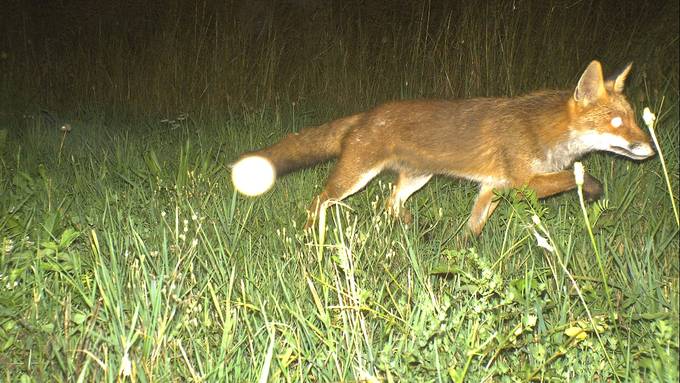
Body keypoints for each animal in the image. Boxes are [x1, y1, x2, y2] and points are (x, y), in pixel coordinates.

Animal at [231, 60, 656, 236]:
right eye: (616, 124)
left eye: (634, 119)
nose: (650, 149)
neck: (542, 132)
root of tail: (367, 113)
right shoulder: (522, 185)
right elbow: (576, 176)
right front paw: (593, 190)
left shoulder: (492, 189)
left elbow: (474, 229)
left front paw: (464, 253)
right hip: (354, 178)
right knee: (320, 200)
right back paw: (310, 239)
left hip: (417, 178)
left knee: (391, 204)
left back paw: (413, 230)